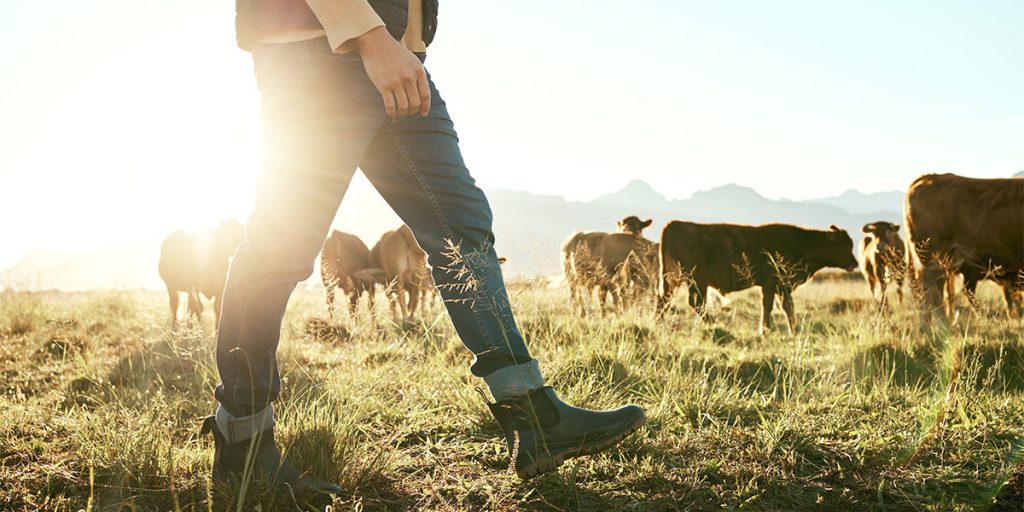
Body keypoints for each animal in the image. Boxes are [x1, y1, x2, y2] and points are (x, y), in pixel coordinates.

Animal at [655, 221, 856, 335]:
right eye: (844, 245)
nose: (854, 263)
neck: (802, 242)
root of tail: (673, 224)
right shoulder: (778, 285)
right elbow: (782, 307)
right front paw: (783, 330)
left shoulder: (772, 287)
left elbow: (773, 306)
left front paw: (771, 330)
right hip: (695, 280)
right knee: (695, 302)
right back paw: (715, 325)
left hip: (674, 280)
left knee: (665, 300)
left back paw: (658, 324)